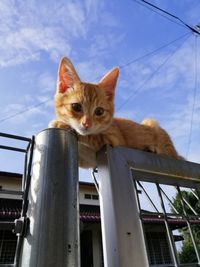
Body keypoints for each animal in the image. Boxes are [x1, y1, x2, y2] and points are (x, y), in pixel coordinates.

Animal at [49, 57, 184, 169]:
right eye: (76, 107)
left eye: (99, 111)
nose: (87, 124)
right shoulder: (89, 161)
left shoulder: (114, 139)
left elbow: (93, 136)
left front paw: (63, 125)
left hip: (152, 125)